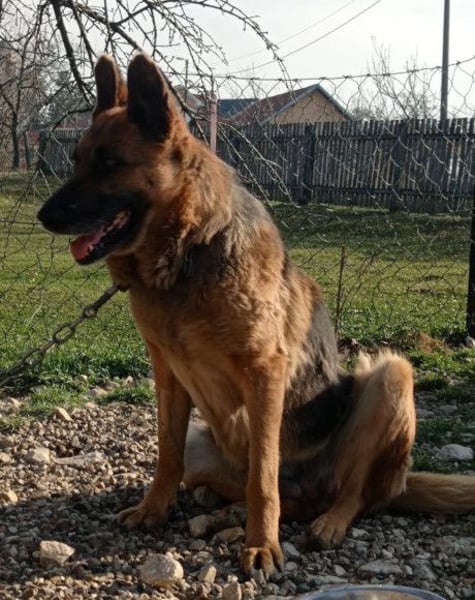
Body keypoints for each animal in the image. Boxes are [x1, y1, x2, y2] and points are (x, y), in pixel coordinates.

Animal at [37, 53, 475, 576]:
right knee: (248, 486)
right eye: (77, 160)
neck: (189, 252)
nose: (44, 217)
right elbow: (166, 457)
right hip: (204, 442)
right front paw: (154, 510)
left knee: (354, 494)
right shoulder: (168, 376)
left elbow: (264, 476)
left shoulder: (265, 373)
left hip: (392, 376)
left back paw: (327, 521)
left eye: (109, 164)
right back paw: (217, 506)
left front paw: (262, 543)